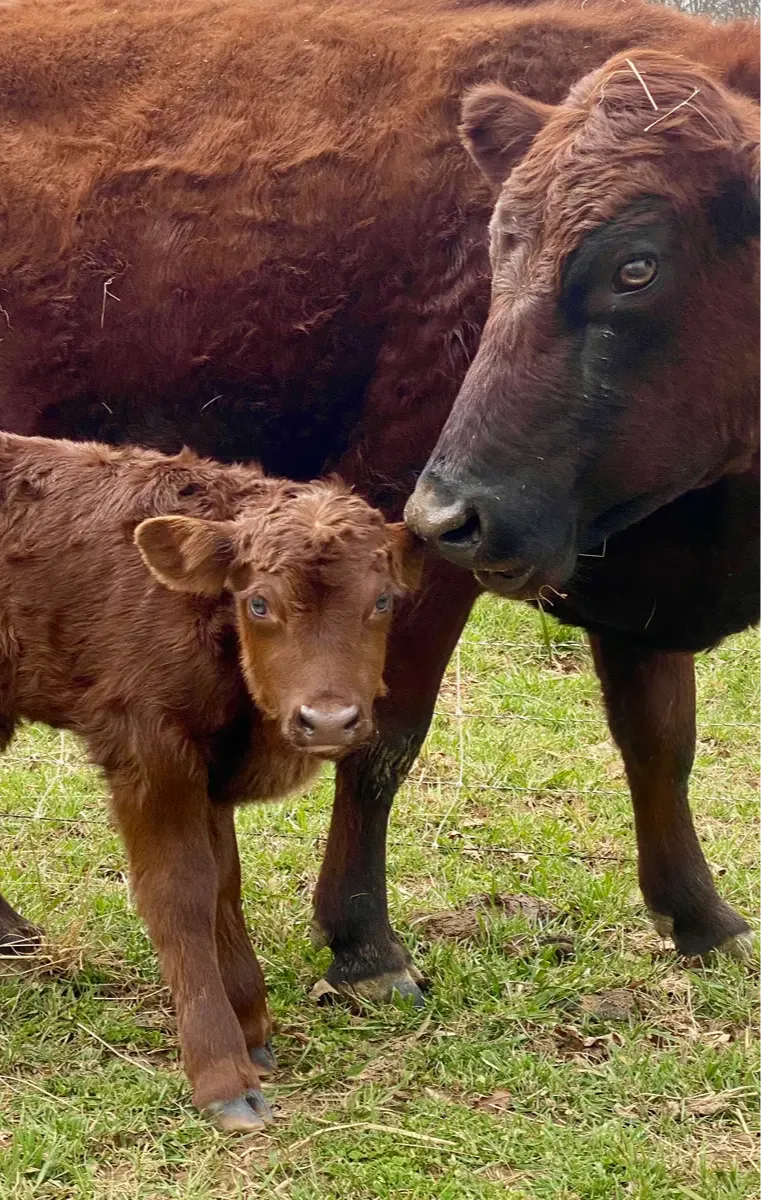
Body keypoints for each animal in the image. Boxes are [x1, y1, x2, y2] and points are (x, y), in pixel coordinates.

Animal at [0, 432, 421, 1131]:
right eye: (259, 603)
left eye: (382, 601)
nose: (328, 719)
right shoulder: (150, 751)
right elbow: (182, 893)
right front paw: (223, 1070)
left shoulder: (211, 769)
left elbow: (226, 882)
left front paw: (253, 1026)